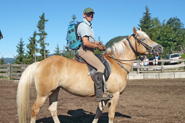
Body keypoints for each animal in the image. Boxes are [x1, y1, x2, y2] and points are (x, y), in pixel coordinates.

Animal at [16, 27, 163, 123]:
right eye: (143, 39)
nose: (160, 48)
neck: (117, 63)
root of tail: (39, 63)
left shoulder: (105, 97)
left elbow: (98, 112)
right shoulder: (114, 95)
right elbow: (111, 115)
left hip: (54, 91)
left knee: (52, 109)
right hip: (43, 93)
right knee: (34, 110)